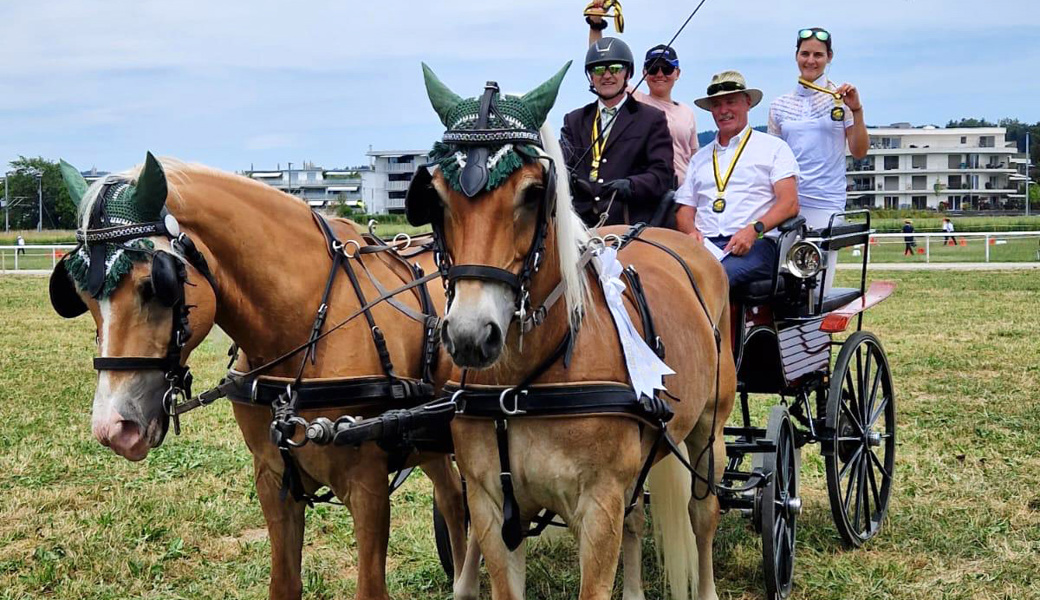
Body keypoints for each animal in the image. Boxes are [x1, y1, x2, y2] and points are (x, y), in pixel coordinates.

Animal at [47, 155, 472, 598]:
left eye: (153, 285)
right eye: (78, 293)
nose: (113, 428)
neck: (309, 326)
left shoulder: (367, 487)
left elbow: (370, 589)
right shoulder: (273, 480)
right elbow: (284, 583)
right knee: (451, 496)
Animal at [407, 65, 740, 598]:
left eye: (531, 192)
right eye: (434, 195)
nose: (471, 336)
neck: (520, 387)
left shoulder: (598, 505)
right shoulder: (491, 505)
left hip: (709, 428)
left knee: (703, 511)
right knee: (636, 519)